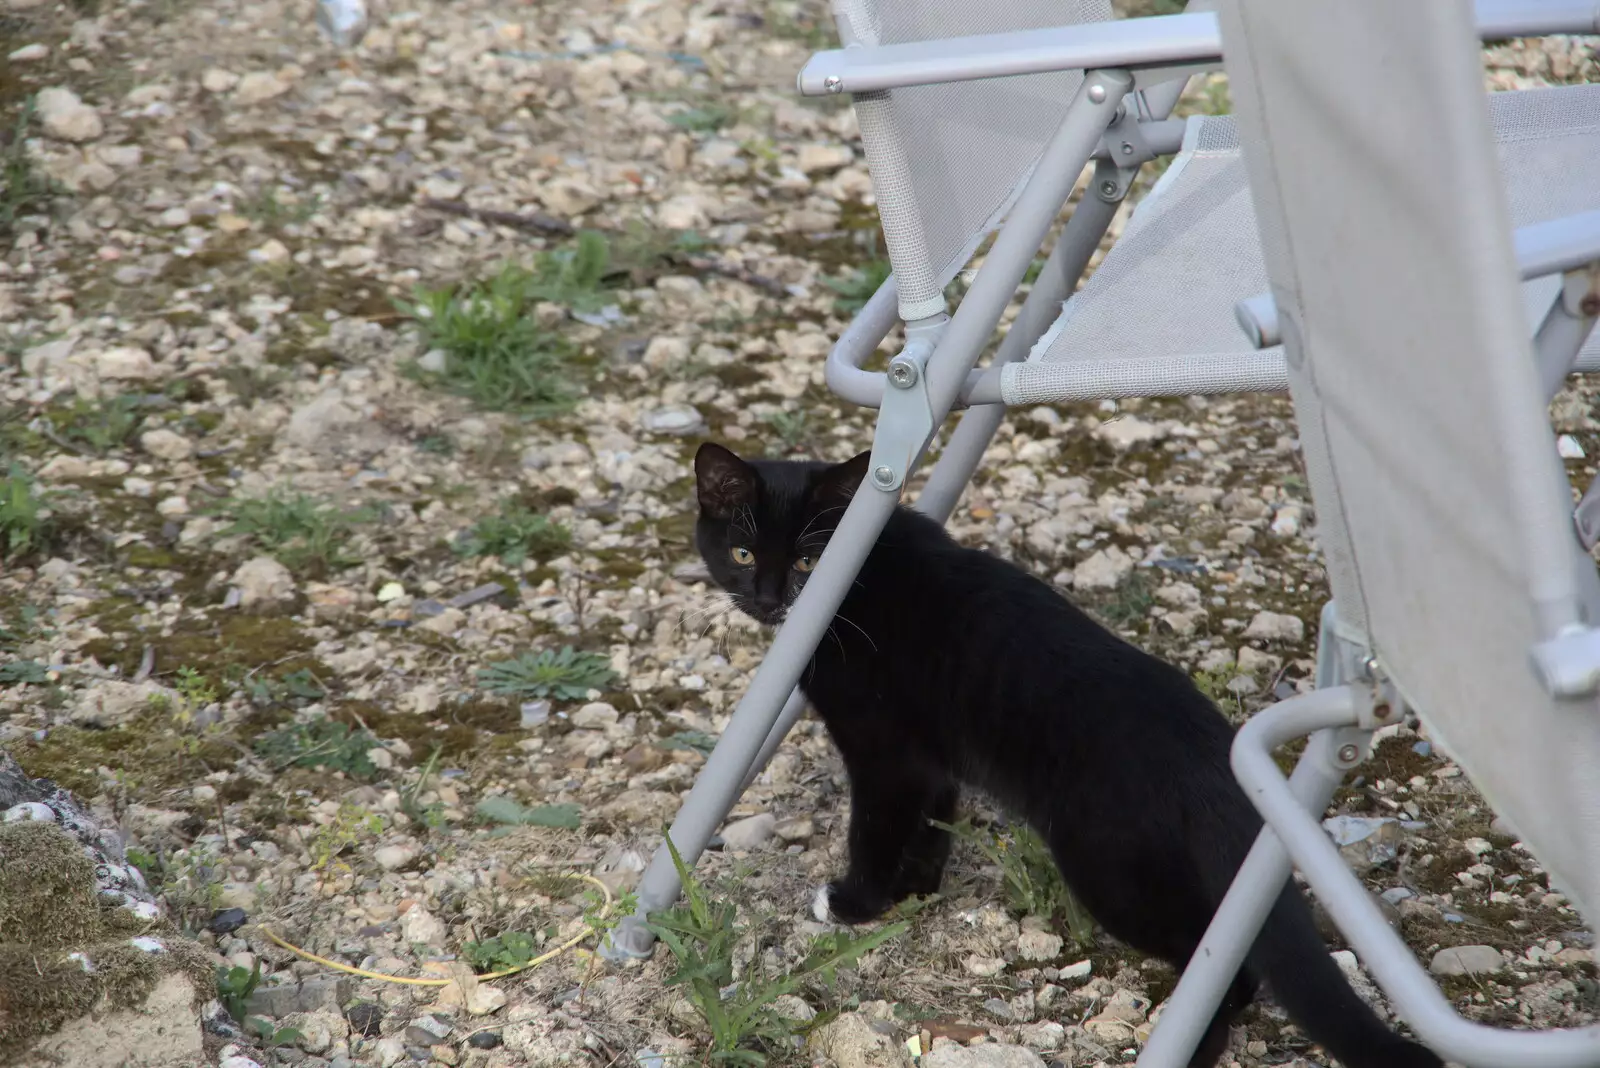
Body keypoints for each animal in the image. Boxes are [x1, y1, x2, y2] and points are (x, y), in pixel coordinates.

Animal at [694, 441, 1446, 1068]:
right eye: (742, 553)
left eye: (807, 561)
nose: (769, 598)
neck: (861, 574)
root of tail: (1214, 753)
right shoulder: (928, 756)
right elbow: (934, 820)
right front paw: (919, 889)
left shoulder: (885, 752)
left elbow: (875, 829)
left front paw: (855, 903)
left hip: (1107, 868)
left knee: (1217, 956)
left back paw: (1194, 1037)